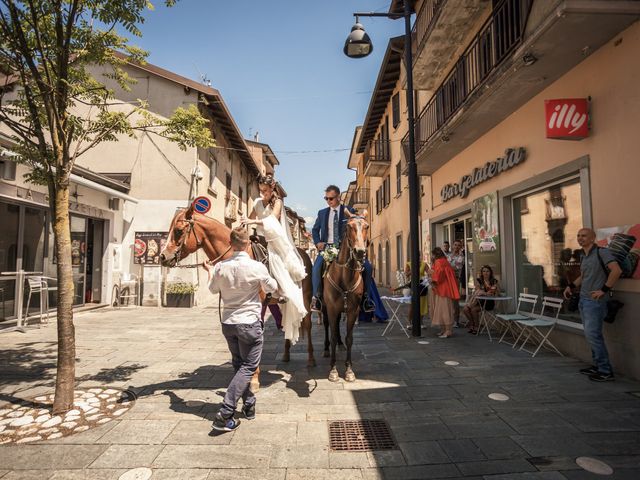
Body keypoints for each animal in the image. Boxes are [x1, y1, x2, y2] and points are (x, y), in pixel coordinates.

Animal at [160, 208, 316, 380]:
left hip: (305, 297)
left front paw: (253, 374)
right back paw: (286, 354)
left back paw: (311, 359)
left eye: (179, 231)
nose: (162, 256)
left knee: (308, 325)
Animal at [322, 216, 368, 384]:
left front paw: (349, 370)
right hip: (325, 309)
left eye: (366, 226)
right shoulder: (331, 309)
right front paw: (333, 370)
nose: (360, 252)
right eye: (349, 226)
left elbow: (349, 338)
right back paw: (326, 349)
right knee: (328, 327)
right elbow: (333, 336)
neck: (345, 277)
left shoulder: (353, 311)